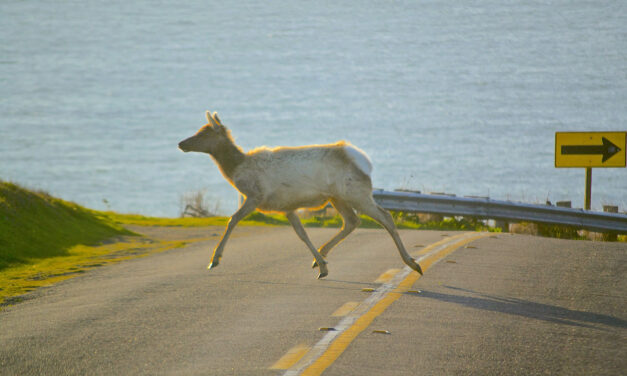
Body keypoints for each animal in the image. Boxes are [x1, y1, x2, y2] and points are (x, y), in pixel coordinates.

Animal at [178, 110, 422, 278]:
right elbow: (301, 233)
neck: (237, 169)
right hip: (337, 197)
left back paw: (412, 262)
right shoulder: (287, 206)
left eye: (203, 133)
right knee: (352, 221)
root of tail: (364, 162)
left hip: (356, 193)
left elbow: (232, 220)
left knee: (385, 217)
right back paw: (323, 254)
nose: (181, 143)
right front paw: (321, 266)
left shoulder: (256, 195)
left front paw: (214, 260)